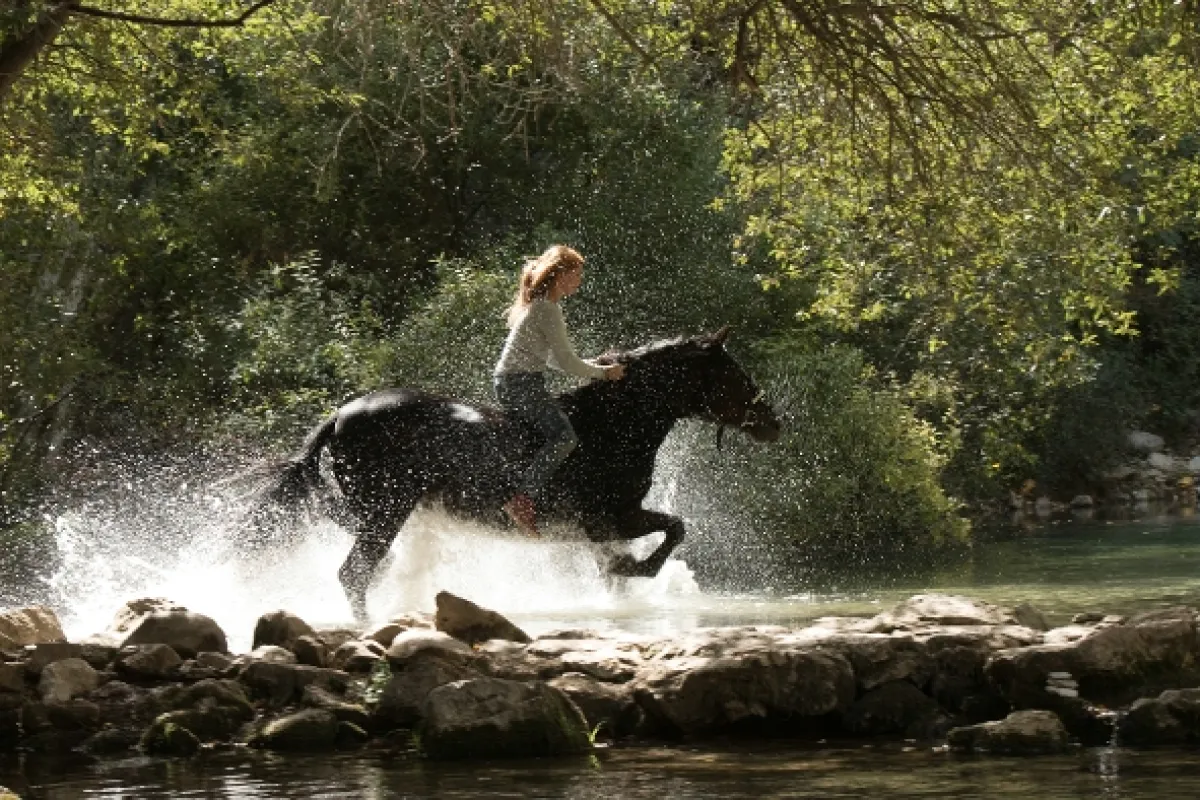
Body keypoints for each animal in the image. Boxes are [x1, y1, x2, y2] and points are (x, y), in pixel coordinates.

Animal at [248, 326, 781, 620]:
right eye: (736, 374)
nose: (773, 423)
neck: (610, 428)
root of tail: (341, 415)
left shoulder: (606, 525)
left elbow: (635, 558)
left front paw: (625, 584)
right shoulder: (608, 518)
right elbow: (671, 532)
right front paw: (639, 570)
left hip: (375, 510)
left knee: (352, 547)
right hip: (385, 509)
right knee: (352, 573)